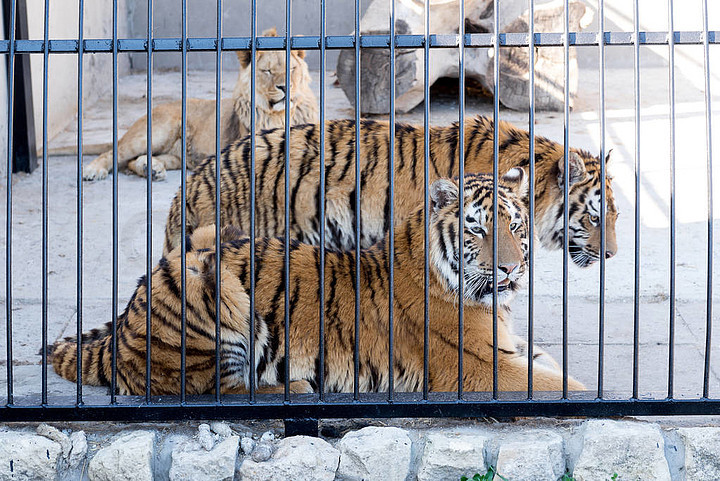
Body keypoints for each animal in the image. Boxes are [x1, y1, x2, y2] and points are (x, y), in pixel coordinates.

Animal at [49, 169, 584, 394]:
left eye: (515, 226)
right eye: (477, 229)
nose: (511, 269)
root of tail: (124, 325)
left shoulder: (513, 350)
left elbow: (557, 369)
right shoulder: (479, 368)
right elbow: (566, 388)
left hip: (211, 235)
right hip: (209, 283)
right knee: (208, 391)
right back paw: (299, 388)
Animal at [81, 26, 318, 180]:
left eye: (292, 69)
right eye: (267, 71)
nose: (285, 87)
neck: (278, 115)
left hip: (177, 156)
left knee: (132, 162)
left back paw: (152, 168)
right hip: (155, 132)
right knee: (115, 154)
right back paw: (93, 171)